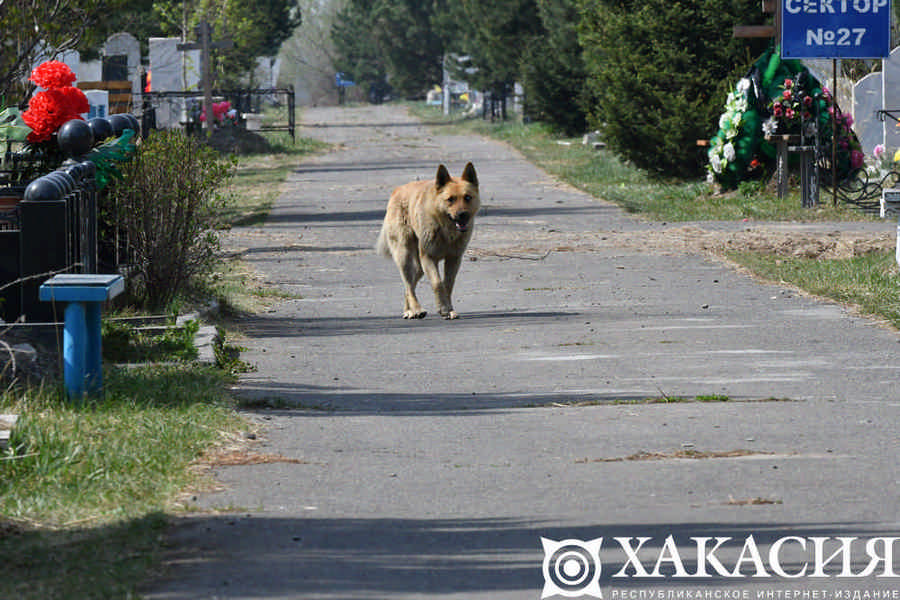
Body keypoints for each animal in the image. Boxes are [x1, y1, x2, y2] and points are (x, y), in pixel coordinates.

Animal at [374, 159, 478, 318]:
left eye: (467, 197)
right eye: (450, 199)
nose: (462, 215)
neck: (445, 229)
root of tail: (397, 190)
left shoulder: (454, 259)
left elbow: (448, 284)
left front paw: (449, 309)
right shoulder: (429, 258)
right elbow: (438, 283)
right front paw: (443, 308)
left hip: (419, 266)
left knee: (410, 284)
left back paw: (409, 310)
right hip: (404, 256)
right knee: (408, 285)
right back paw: (416, 309)